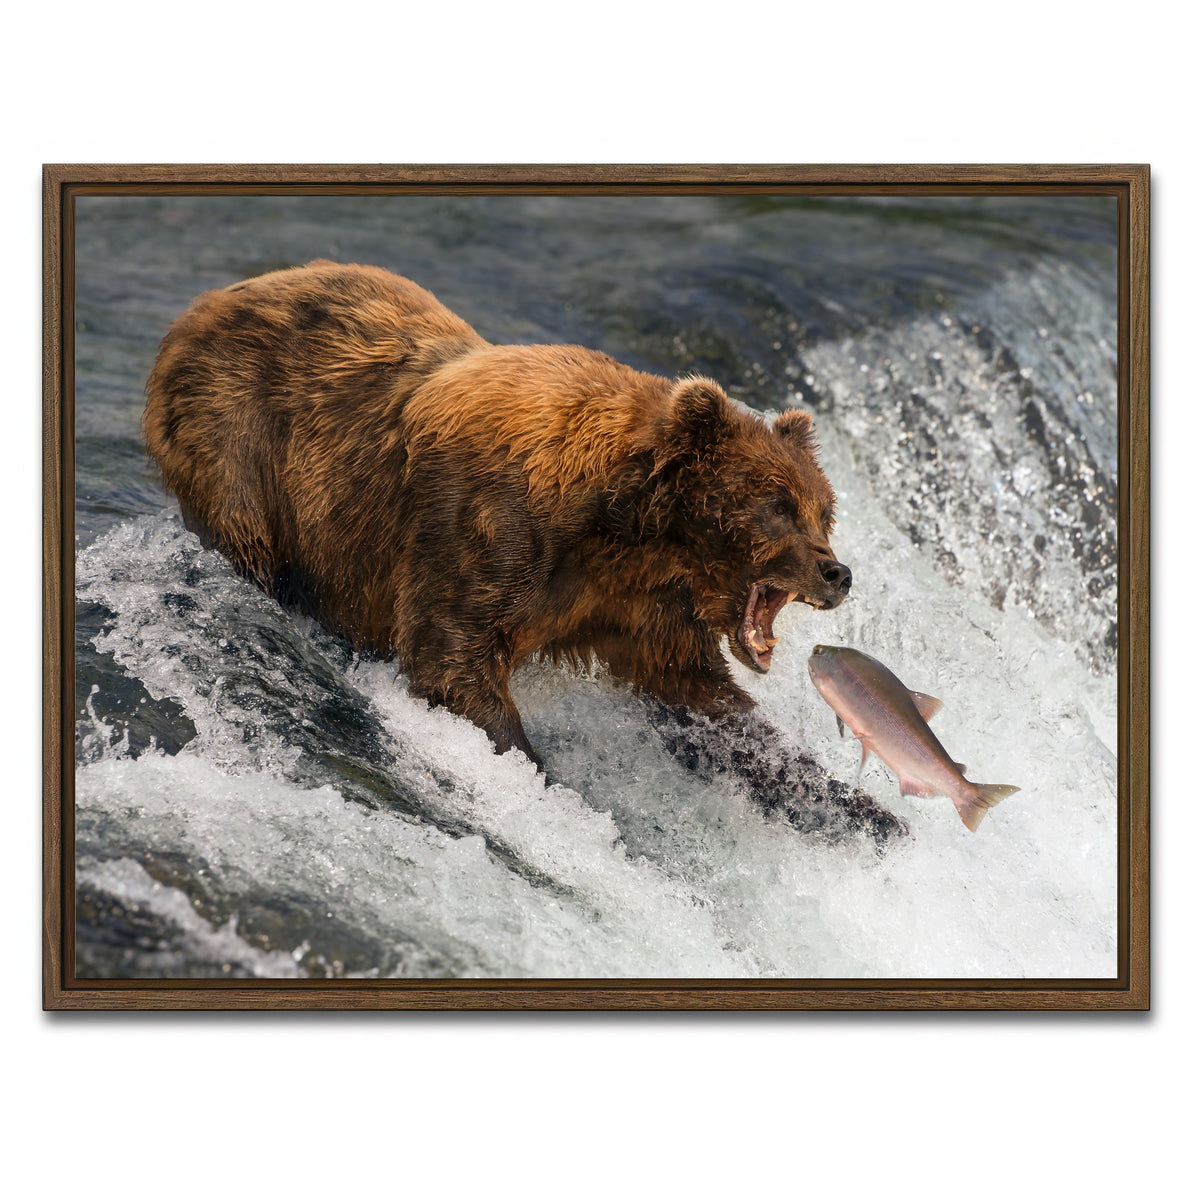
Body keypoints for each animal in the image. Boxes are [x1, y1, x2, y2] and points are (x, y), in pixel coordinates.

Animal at [144, 260, 903, 842]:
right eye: (777, 505)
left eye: (823, 509)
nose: (837, 571)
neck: (627, 528)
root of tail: (202, 306)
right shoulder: (488, 528)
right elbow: (453, 656)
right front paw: (541, 779)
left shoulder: (636, 606)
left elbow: (703, 699)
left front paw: (862, 810)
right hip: (242, 441)